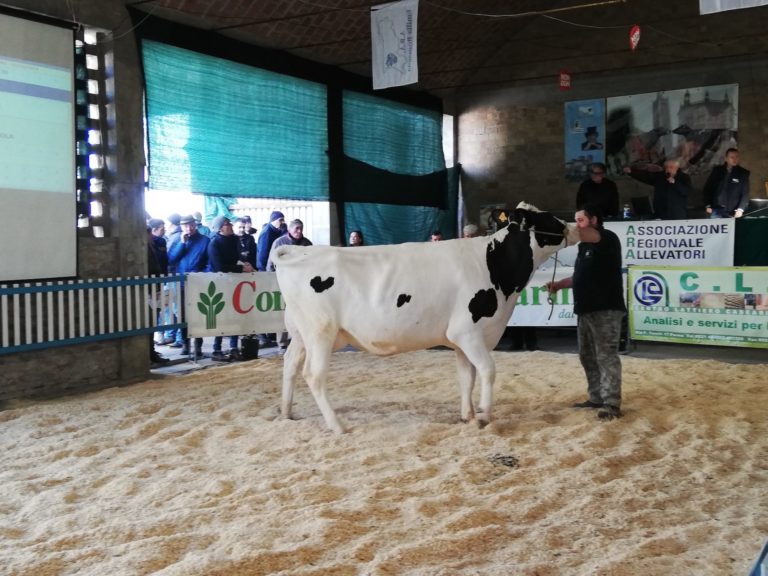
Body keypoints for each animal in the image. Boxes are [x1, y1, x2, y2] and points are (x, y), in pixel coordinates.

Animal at [272, 202, 580, 432]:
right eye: (548, 218)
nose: (577, 225)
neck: (495, 266)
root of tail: (300, 251)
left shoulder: (462, 338)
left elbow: (466, 376)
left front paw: (468, 415)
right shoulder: (467, 332)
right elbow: (487, 370)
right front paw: (484, 415)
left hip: (301, 334)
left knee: (289, 365)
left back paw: (287, 413)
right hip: (320, 331)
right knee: (313, 375)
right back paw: (337, 425)